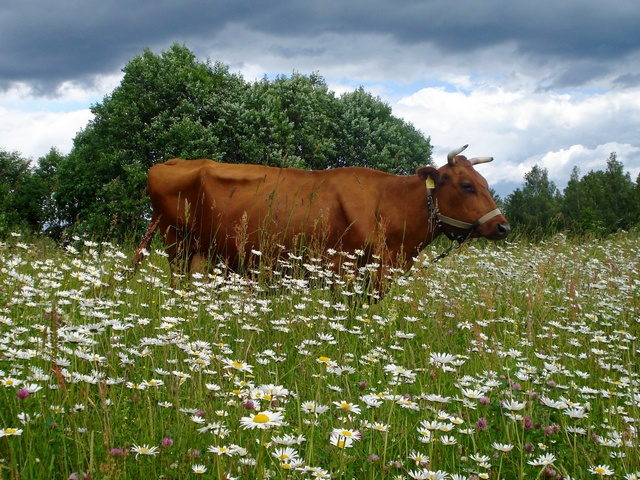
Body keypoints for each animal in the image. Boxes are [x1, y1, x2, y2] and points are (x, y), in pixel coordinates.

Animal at [145, 144, 510, 288]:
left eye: (484, 182)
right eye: (466, 185)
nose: (502, 226)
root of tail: (172, 161)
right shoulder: (343, 270)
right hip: (177, 246)